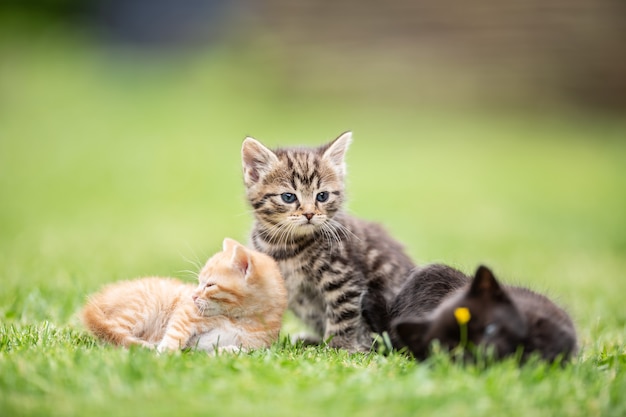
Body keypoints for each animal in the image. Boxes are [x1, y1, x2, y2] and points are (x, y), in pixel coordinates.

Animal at [80, 237, 288, 352]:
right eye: (199, 282)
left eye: (210, 285)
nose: (193, 296)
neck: (242, 320)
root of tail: (95, 303)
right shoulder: (187, 312)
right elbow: (176, 331)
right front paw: (165, 351)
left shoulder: (256, 345)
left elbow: (240, 351)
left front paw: (226, 352)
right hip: (143, 306)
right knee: (112, 331)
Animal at [240, 131, 414, 352]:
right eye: (288, 197)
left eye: (322, 196)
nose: (309, 214)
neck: (285, 244)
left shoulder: (344, 278)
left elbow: (344, 316)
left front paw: (340, 348)